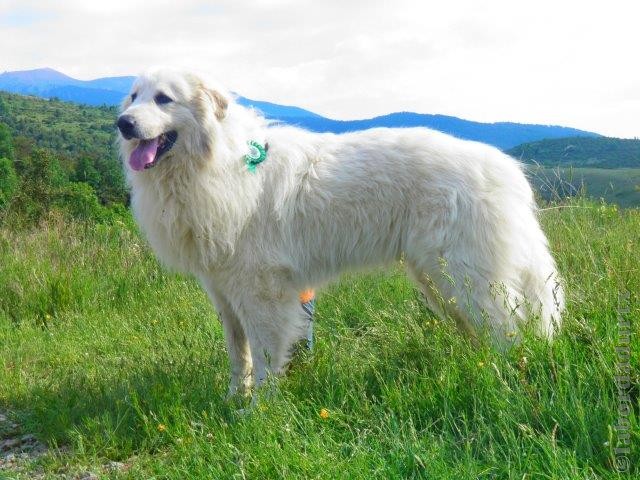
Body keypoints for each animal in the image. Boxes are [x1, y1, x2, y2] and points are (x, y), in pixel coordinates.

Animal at [117, 67, 564, 398]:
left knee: (507, 329)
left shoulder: (261, 292)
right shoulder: (223, 293)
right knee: (482, 331)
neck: (215, 163)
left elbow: (263, 357)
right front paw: (232, 402)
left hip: (464, 278)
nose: (122, 123)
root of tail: (506, 169)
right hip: (440, 283)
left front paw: (258, 411)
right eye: (134, 96)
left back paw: (504, 380)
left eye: (163, 98)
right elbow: (238, 355)